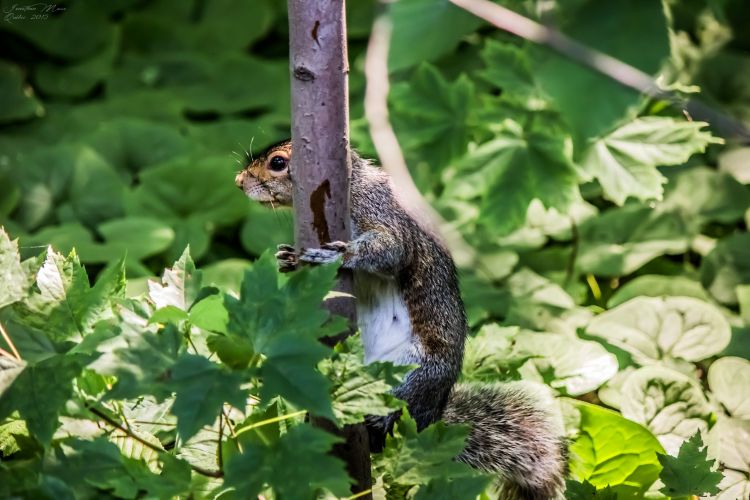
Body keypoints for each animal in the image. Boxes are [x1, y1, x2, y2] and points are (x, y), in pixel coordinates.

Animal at [234, 139, 564, 498]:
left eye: (278, 163)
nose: (239, 181)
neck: (354, 185)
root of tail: (429, 421)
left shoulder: (380, 213)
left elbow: (391, 249)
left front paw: (338, 254)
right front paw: (287, 258)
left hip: (412, 374)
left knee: (398, 412)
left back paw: (378, 421)